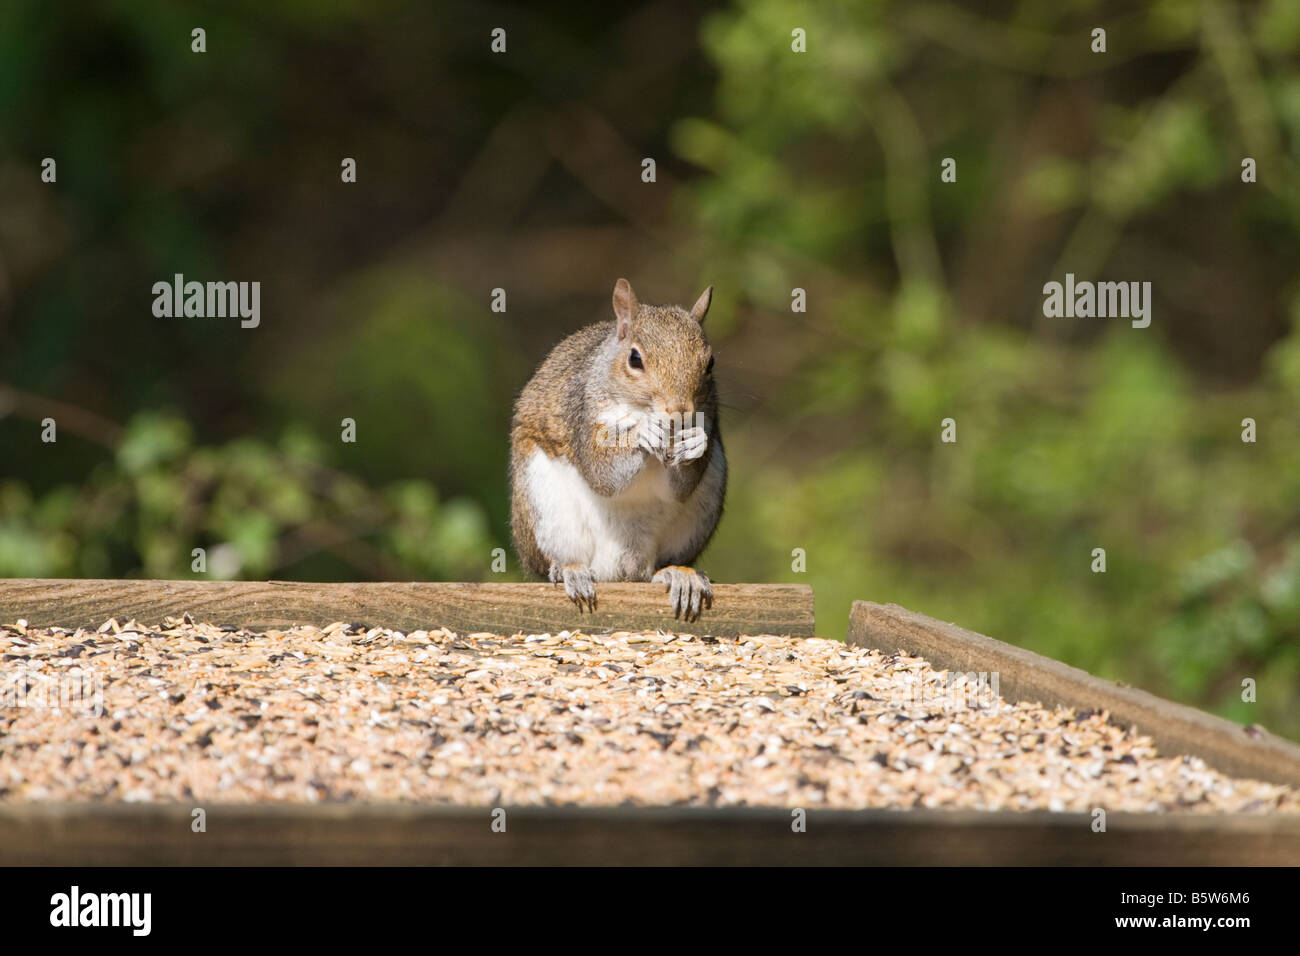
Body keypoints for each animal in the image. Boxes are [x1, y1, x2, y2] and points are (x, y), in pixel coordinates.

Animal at [506, 277, 728, 624]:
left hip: (699, 513)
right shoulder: (582, 414)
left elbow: (681, 487)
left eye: (710, 364)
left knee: (654, 571)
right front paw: (643, 433)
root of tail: (621, 566)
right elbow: (602, 474)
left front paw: (694, 441)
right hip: (543, 503)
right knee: (557, 560)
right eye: (635, 359)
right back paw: (570, 571)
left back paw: (678, 575)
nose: (678, 412)